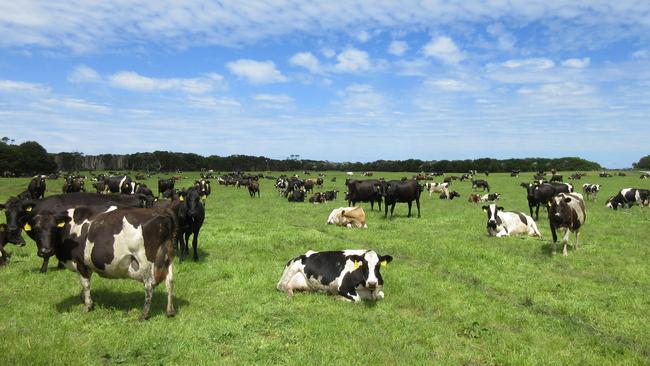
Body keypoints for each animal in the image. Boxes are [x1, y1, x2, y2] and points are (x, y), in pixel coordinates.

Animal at [23, 206, 176, 320]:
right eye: (36, 230)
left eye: (54, 228)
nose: (46, 251)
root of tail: (162, 215)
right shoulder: (87, 265)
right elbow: (85, 285)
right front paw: (85, 300)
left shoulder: (80, 262)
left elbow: (85, 284)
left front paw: (87, 306)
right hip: (168, 259)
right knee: (169, 282)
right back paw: (169, 311)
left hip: (144, 260)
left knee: (149, 286)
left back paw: (144, 314)